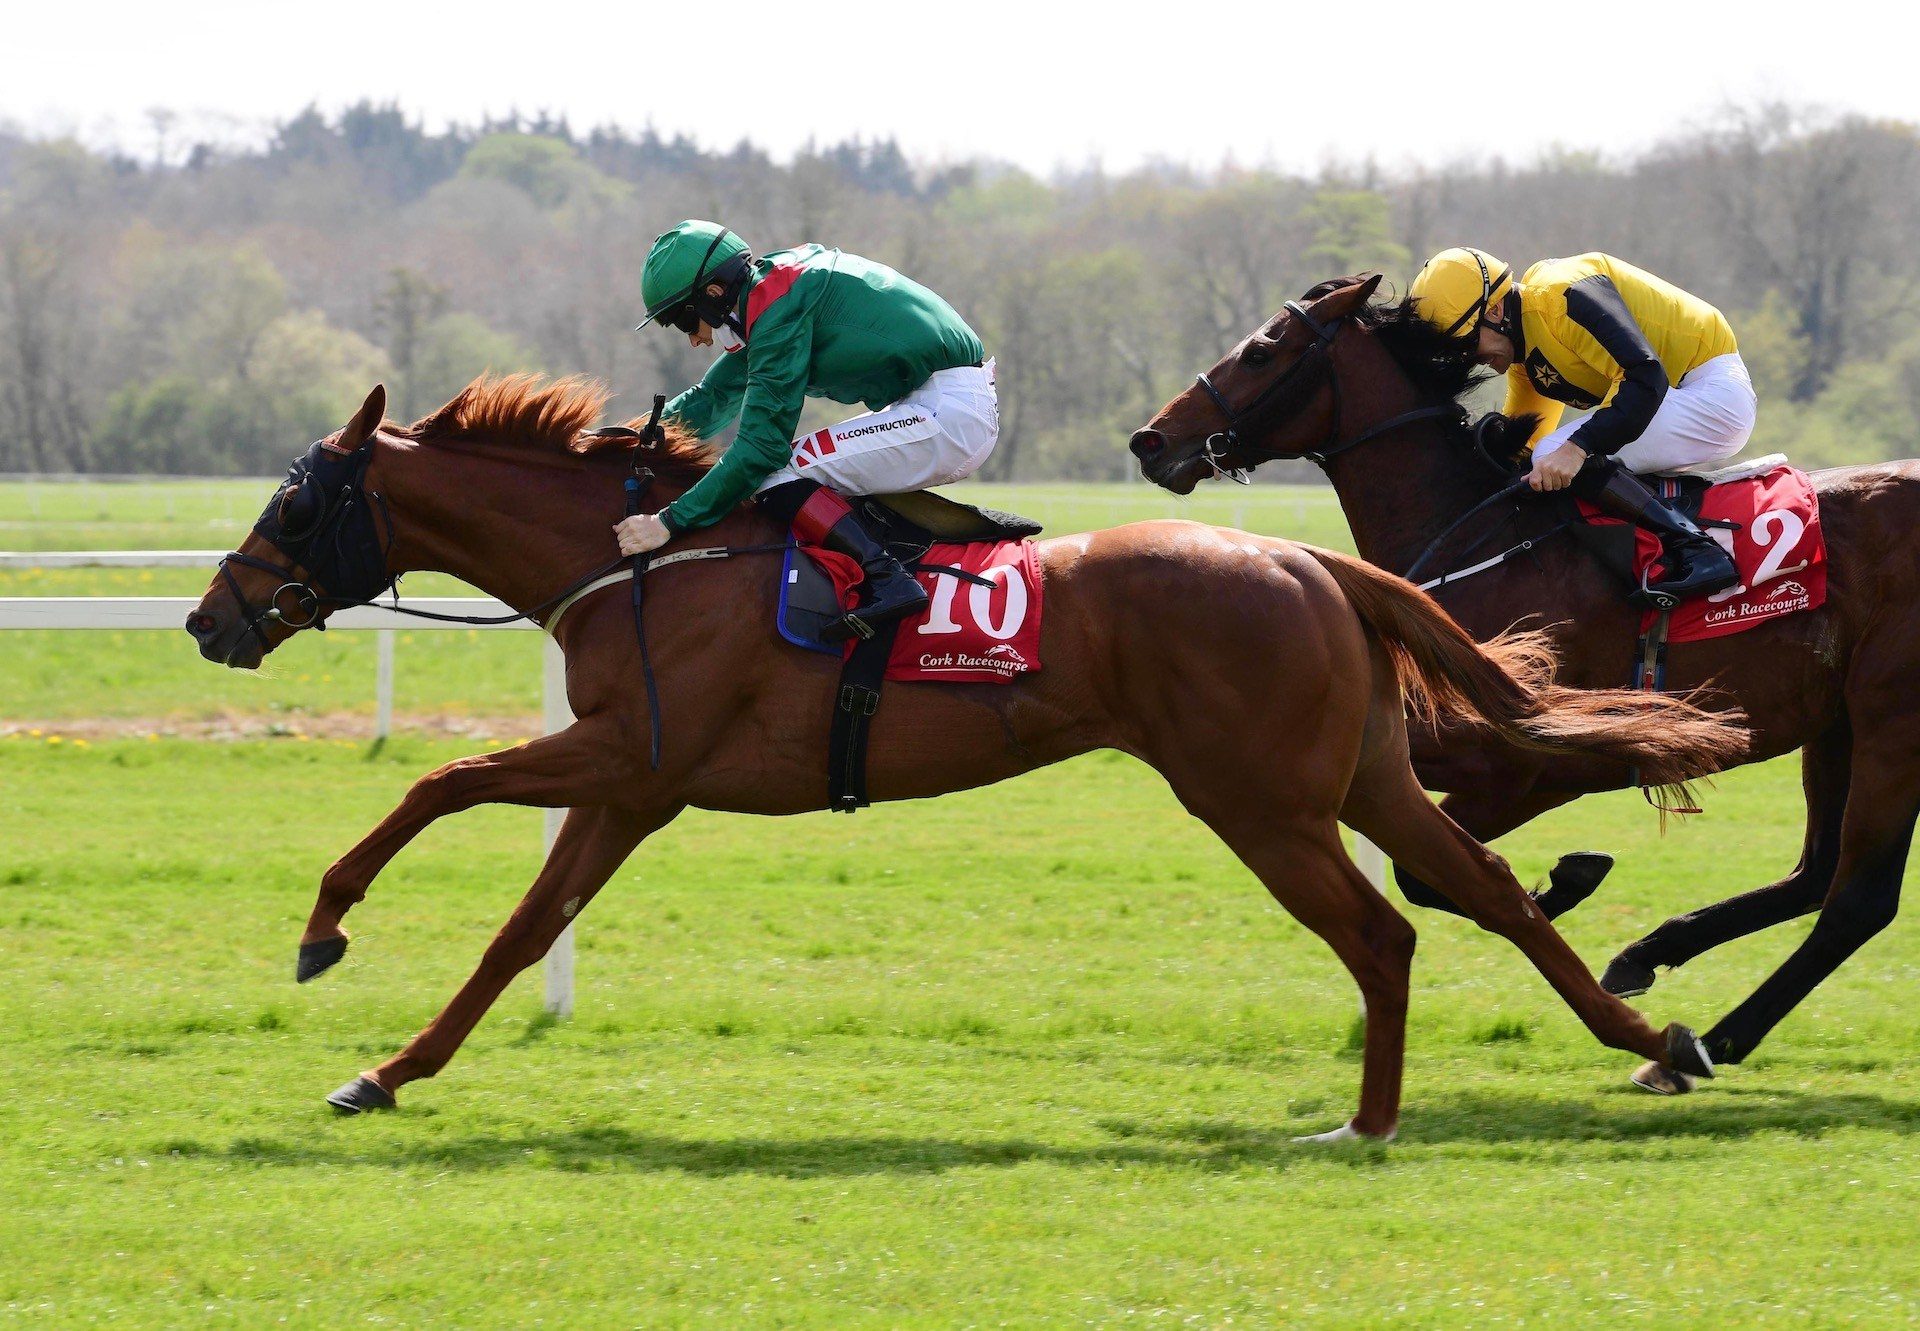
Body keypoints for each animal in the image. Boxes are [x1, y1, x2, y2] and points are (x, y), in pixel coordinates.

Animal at [183, 376, 1743, 1144]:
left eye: (297, 496)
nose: (210, 617)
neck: (638, 555)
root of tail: (1313, 557)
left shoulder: (623, 750)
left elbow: (434, 784)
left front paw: (325, 928)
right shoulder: (634, 783)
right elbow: (521, 932)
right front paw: (386, 1071)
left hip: (1259, 800)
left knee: (1382, 933)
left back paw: (1364, 1121)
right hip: (1356, 779)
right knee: (1491, 891)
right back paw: (1655, 1037)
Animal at [1121, 270, 1920, 1083]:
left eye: (1259, 352)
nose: (1150, 440)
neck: (1483, 539)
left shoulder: (1542, 763)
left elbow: (1429, 874)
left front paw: (1567, 880)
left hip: (1892, 719)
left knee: (1858, 899)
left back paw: (1704, 1040)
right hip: (1835, 723)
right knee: (1816, 874)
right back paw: (1657, 963)